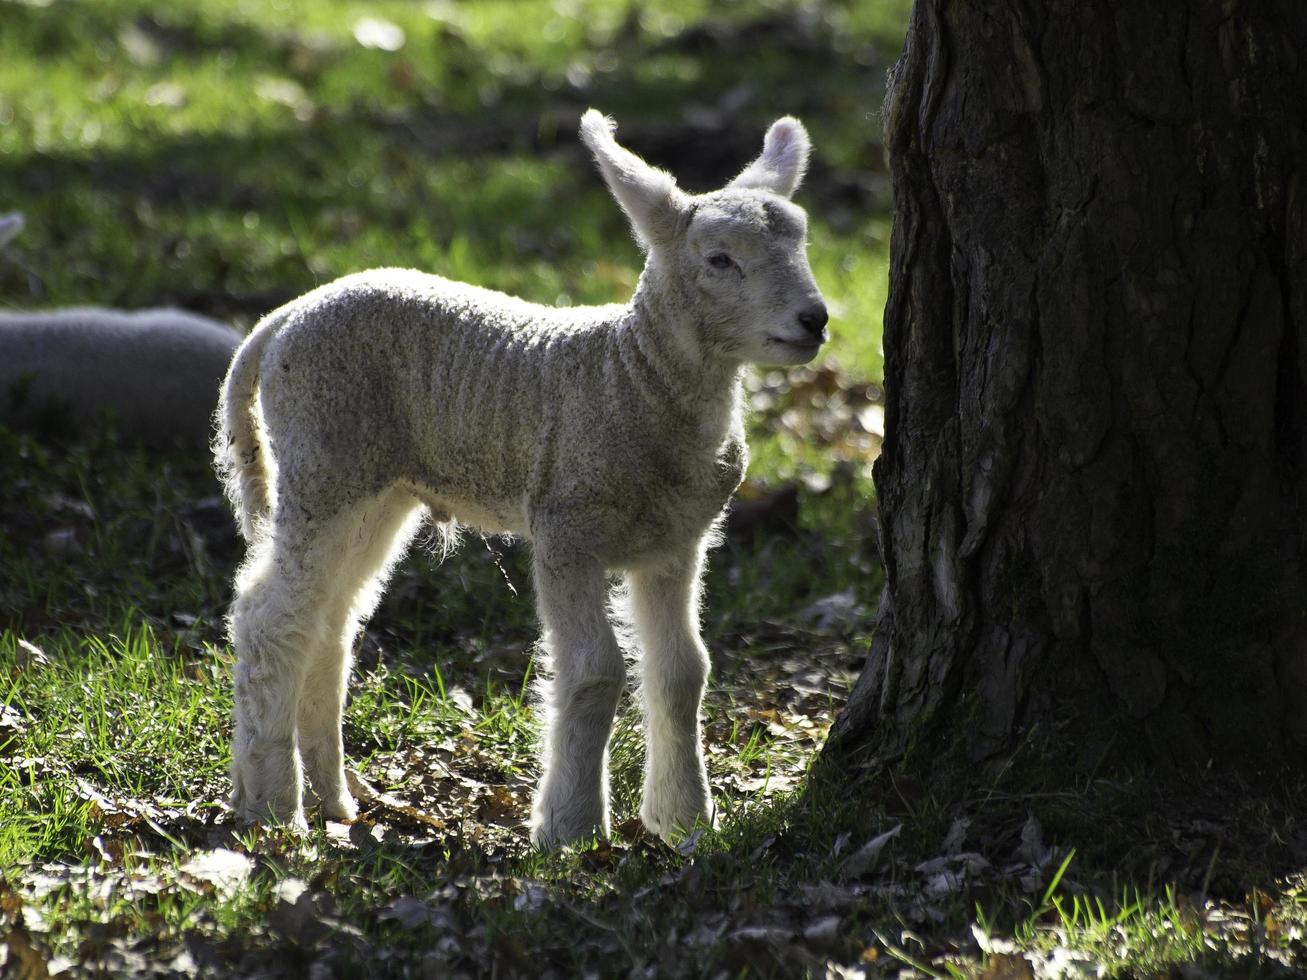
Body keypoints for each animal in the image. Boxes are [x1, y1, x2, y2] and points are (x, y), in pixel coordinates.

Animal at [213, 105, 826, 846]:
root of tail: (283, 318)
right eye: (720, 260)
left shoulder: (676, 542)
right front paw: (570, 827)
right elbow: (594, 670)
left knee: (328, 621)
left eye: (800, 247)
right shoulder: (567, 528)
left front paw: (684, 820)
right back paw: (275, 806)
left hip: (377, 489)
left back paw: (331, 796)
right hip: (324, 459)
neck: (631, 375)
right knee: (269, 619)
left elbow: (683, 671)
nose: (815, 320)